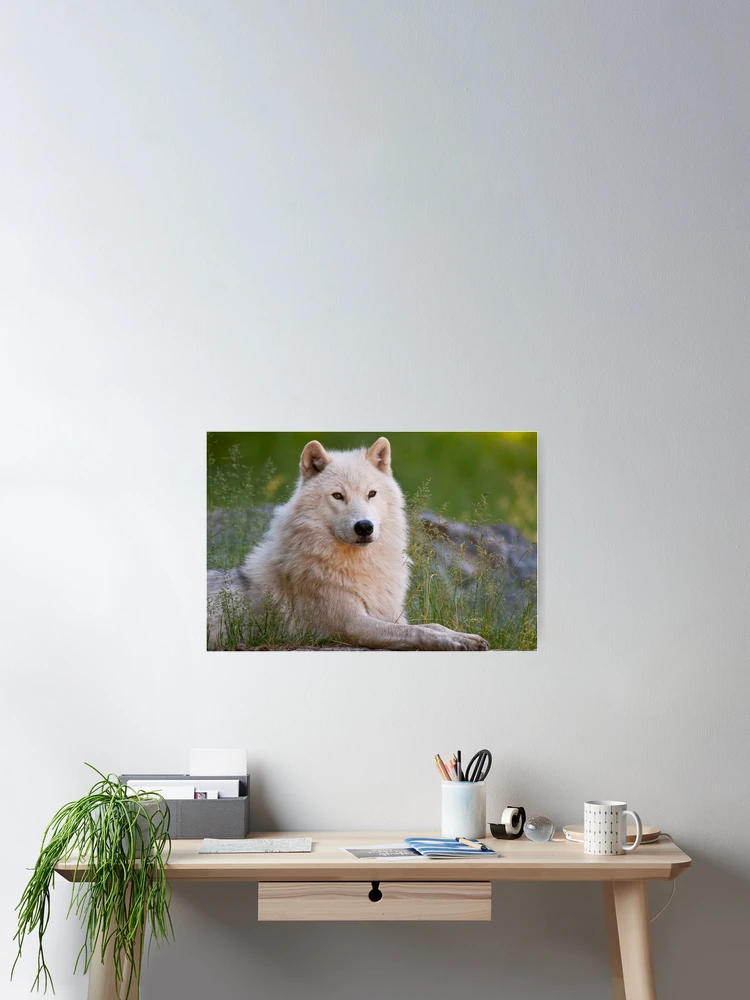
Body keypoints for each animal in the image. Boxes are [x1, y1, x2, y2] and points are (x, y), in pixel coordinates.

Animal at [208, 437, 489, 651]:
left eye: (371, 493)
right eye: (338, 496)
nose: (364, 526)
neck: (360, 566)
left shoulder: (389, 615)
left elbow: (431, 625)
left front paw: (465, 637)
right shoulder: (351, 624)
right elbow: (417, 633)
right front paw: (453, 642)